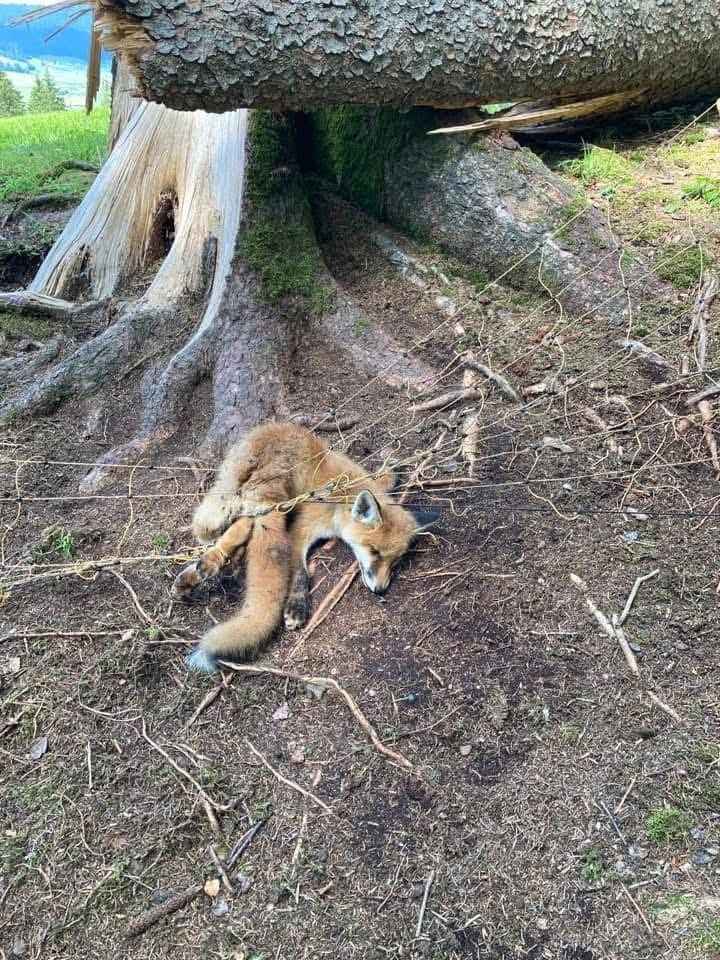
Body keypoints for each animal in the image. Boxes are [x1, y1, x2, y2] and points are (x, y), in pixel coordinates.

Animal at [172, 421, 438, 673]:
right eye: (374, 552)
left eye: (395, 562)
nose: (381, 589)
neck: (340, 496)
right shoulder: (300, 529)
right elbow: (301, 572)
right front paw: (297, 607)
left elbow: (387, 477)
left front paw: (392, 466)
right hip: (276, 501)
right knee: (241, 522)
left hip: (243, 499)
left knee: (232, 523)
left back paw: (207, 567)